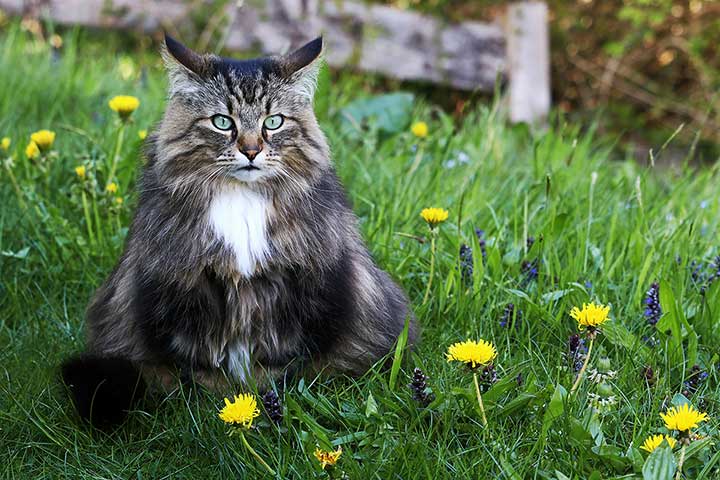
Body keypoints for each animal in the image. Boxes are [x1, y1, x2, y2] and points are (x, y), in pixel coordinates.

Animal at [64, 35, 420, 426]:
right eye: (222, 122)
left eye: (273, 122)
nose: (251, 150)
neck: (242, 198)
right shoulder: (184, 286)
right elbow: (201, 358)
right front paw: (223, 400)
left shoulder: (297, 287)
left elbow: (278, 358)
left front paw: (257, 396)